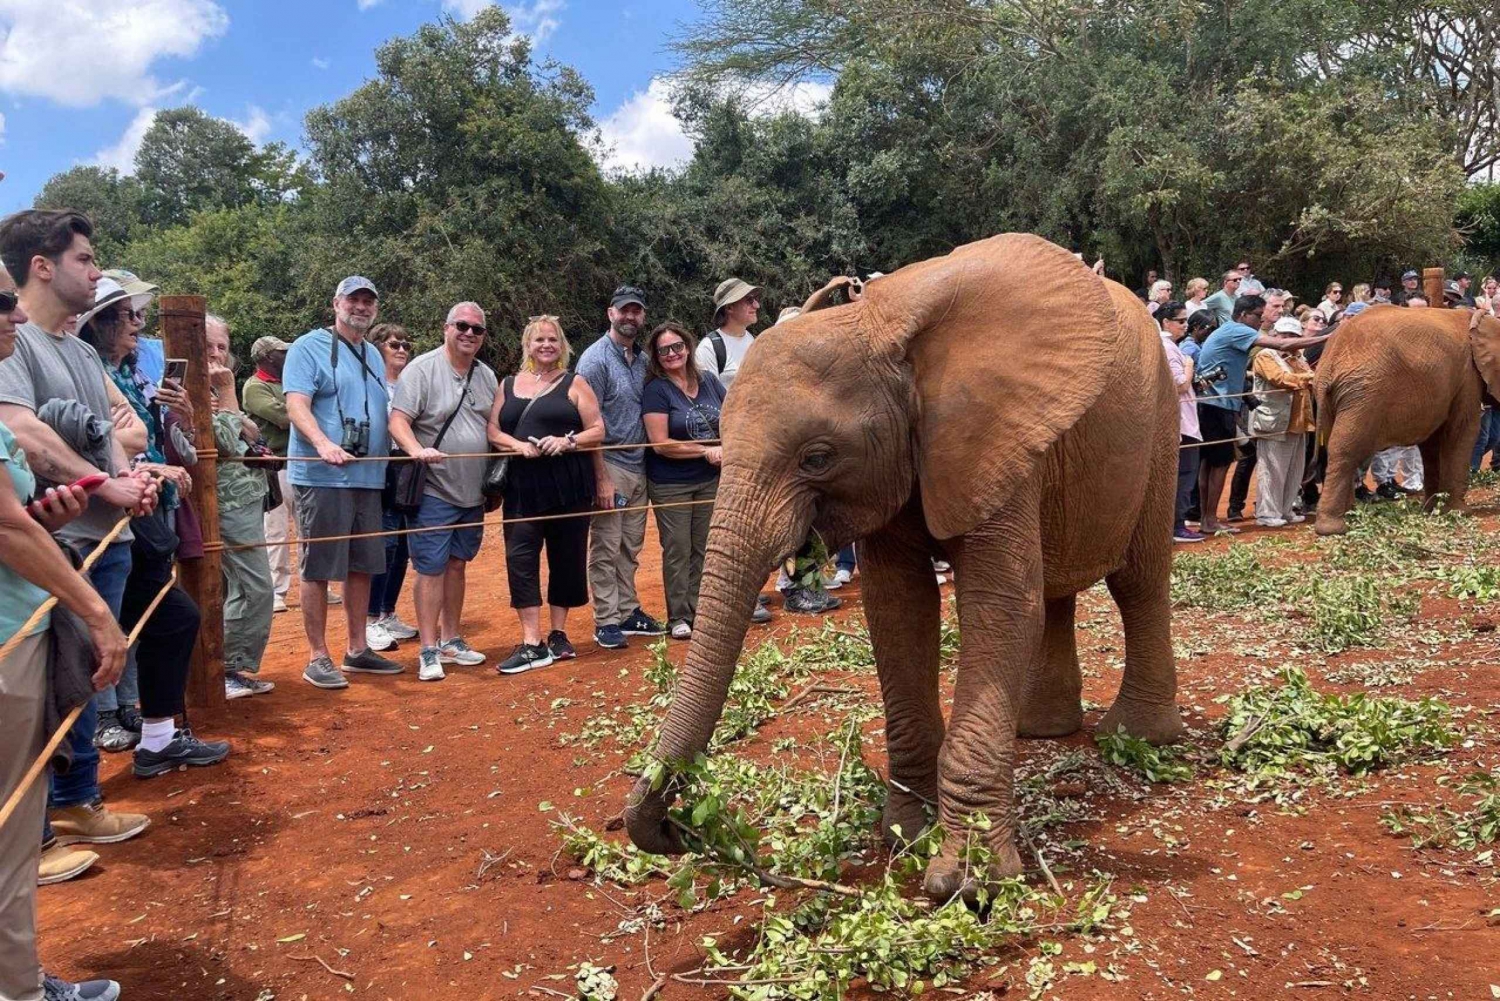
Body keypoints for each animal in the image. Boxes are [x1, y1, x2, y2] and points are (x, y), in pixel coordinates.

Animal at [623, 233, 1185, 903]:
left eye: (817, 458)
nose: (678, 830)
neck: (879, 329)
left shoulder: (990, 431)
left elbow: (997, 606)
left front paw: (966, 881)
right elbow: (899, 610)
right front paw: (906, 836)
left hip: (1160, 422)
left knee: (1136, 580)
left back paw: (1138, 737)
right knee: (1056, 590)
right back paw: (1040, 732)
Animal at [1313, 304, 1500, 536]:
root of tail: (1328, 364)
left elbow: (1432, 444)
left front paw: (1431, 509)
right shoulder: (1467, 378)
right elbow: (1461, 432)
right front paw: (1459, 513)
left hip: (1339, 399)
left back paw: (1351, 516)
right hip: (1365, 395)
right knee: (1345, 449)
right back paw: (1333, 528)